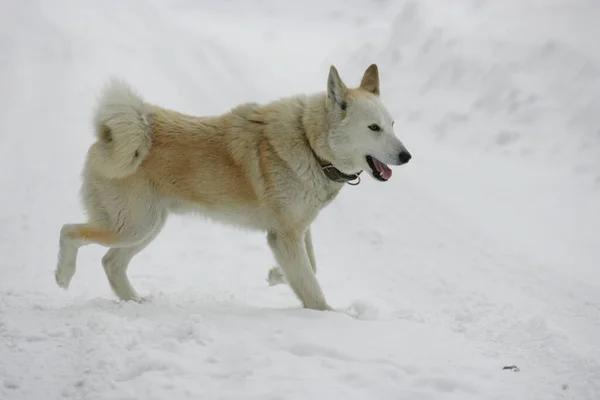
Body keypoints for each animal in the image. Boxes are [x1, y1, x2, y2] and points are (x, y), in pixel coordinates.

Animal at [54, 64, 412, 310]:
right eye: (374, 128)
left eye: (393, 125)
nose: (406, 156)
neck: (310, 143)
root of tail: (110, 135)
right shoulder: (284, 235)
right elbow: (311, 286)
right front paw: (329, 317)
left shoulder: (297, 230)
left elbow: (309, 266)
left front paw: (276, 275)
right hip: (133, 226)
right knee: (69, 231)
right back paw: (63, 276)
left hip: (147, 227)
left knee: (111, 263)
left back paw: (134, 302)